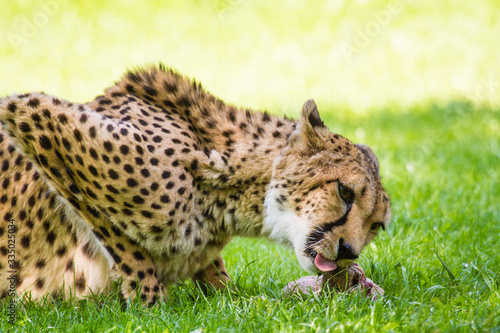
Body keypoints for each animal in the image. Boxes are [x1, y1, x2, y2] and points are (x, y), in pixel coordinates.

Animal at [0, 63, 390, 302]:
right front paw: (149, 300)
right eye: (344, 191)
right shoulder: (30, 111)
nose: (348, 251)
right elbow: (115, 234)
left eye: (375, 226)